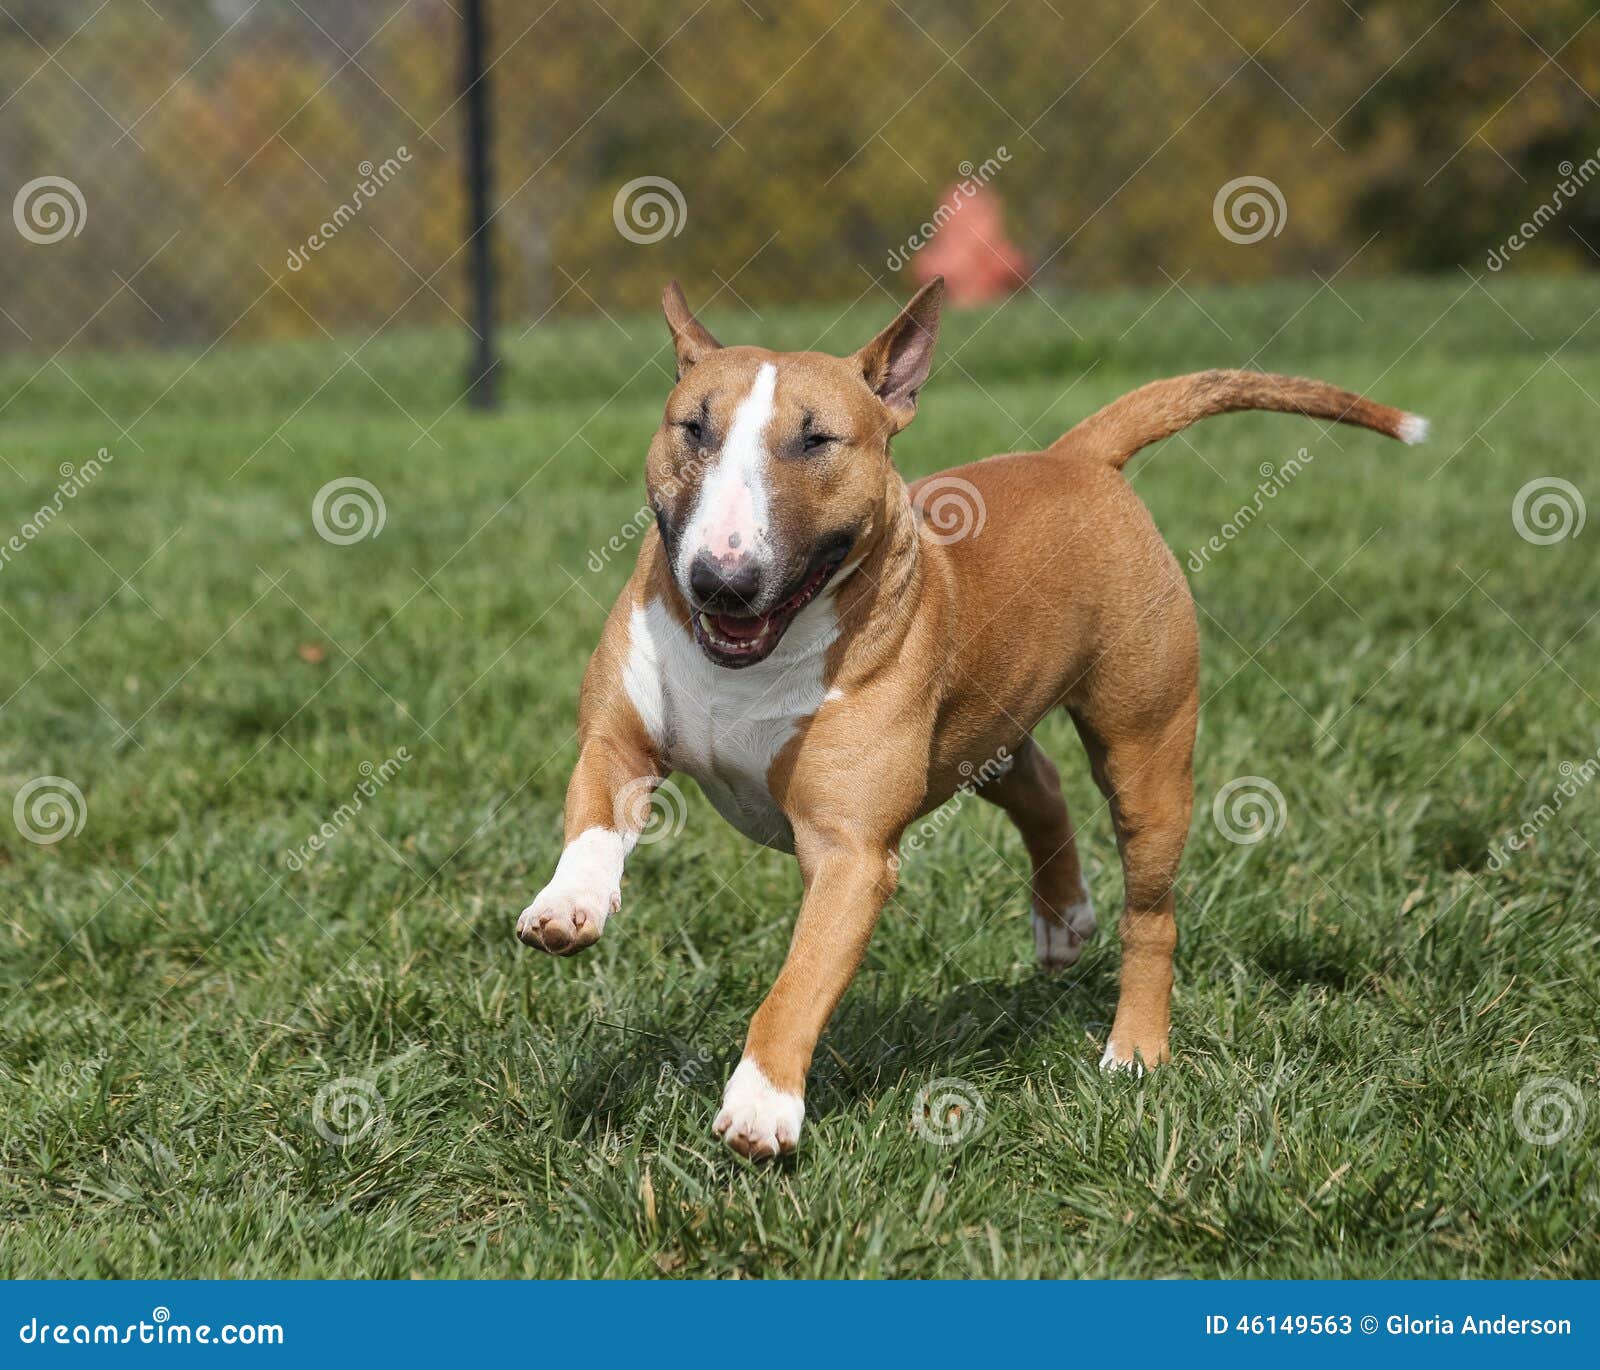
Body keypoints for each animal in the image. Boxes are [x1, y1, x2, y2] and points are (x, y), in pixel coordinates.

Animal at [518, 278, 1433, 1158]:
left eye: (817, 442)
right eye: (694, 428)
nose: (721, 581)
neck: (747, 664)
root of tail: (1077, 458)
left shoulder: (851, 855)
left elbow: (798, 984)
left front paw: (762, 1106)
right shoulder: (619, 738)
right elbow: (595, 812)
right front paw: (568, 905)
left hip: (1145, 750)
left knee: (1151, 909)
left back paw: (1135, 1049)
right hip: (976, 733)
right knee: (1041, 787)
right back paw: (1062, 922)